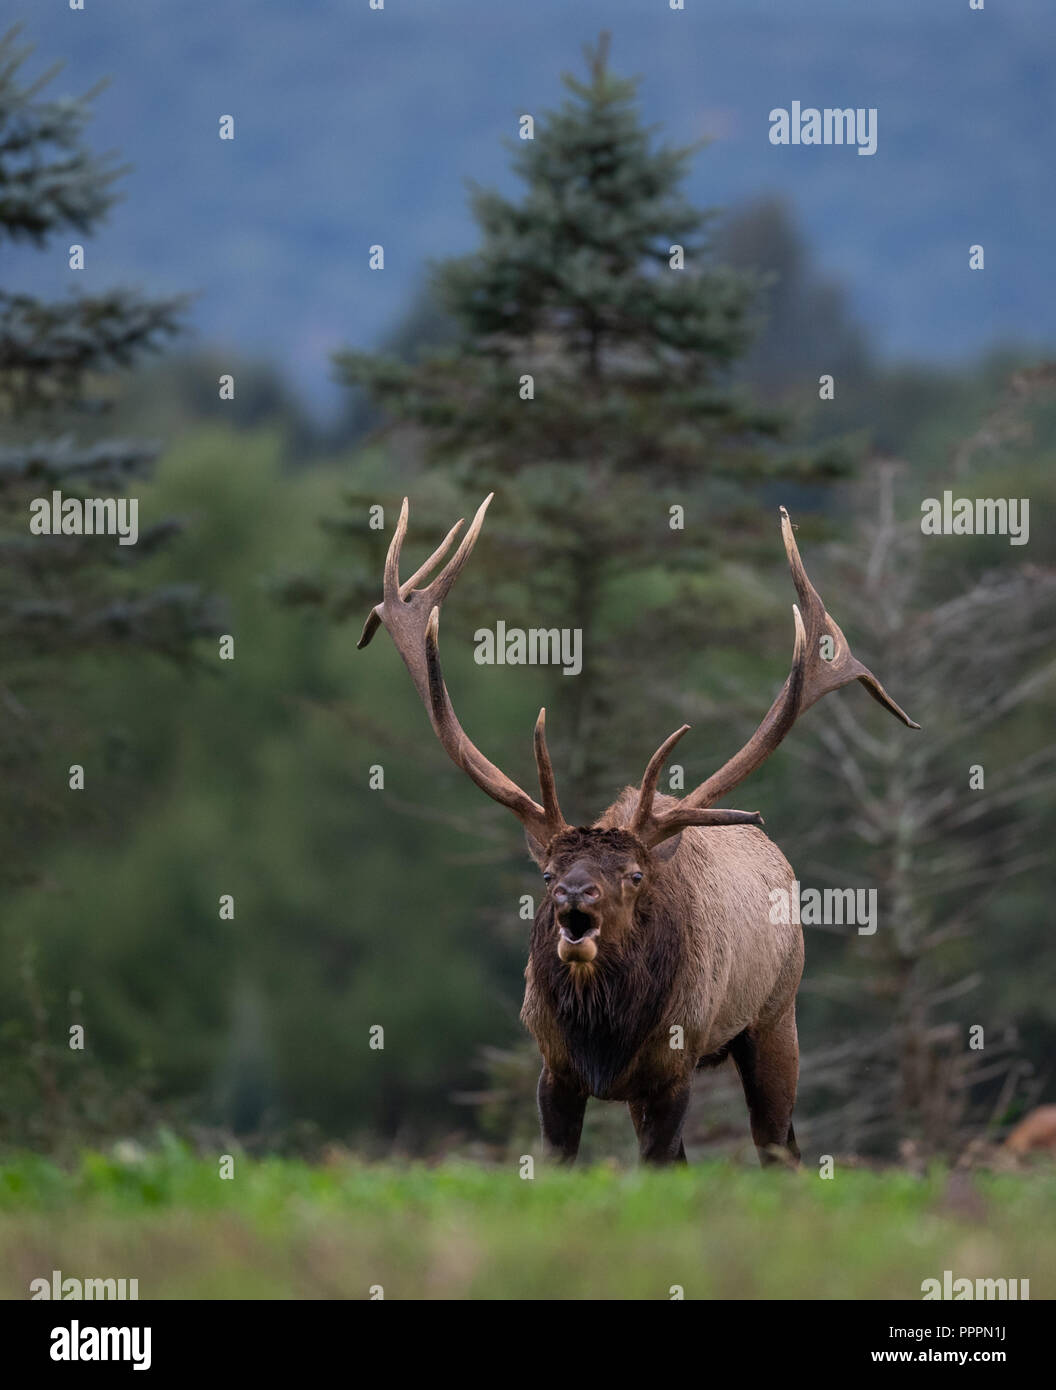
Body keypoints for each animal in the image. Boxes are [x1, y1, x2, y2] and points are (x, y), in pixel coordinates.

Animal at [359, 495, 918, 1166]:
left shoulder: (674, 1064)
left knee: (779, 1146)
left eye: (633, 875)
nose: (575, 895)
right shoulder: (554, 1067)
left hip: (776, 1016)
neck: (605, 1038)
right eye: (546, 873)